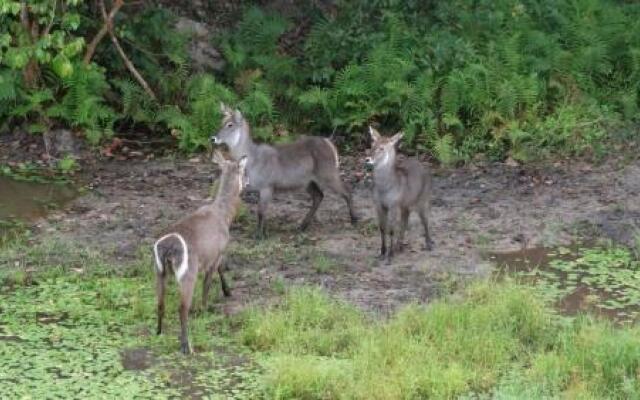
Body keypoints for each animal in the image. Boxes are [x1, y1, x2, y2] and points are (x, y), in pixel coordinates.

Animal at [152, 150, 248, 354]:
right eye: (244, 171)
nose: (248, 183)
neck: (225, 215)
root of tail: (167, 248)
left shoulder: (214, 253)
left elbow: (220, 269)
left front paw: (227, 291)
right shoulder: (217, 251)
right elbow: (210, 281)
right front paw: (208, 307)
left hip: (159, 270)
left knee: (160, 303)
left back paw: (159, 332)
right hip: (187, 272)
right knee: (182, 308)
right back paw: (186, 346)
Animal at [212, 104, 358, 241]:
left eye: (230, 124)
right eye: (221, 122)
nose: (213, 138)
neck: (252, 159)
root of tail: (330, 144)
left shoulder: (267, 186)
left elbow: (260, 212)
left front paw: (259, 236)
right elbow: (262, 211)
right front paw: (263, 232)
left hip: (328, 174)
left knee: (347, 190)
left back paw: (354, 220)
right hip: (308, 182)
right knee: (319, 196)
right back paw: (302, 226)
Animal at [364, 126, 436, 264]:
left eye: (382, 148)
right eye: (372, 144)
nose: (368, 159)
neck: (384, 188)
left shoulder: (393, 205)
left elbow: (392, 230)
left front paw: (390, 256)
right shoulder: (379, 205)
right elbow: (382, 228)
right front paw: (382, 252)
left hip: (422, 201)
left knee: (425, 221)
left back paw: (429, 244)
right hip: (405, 206)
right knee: (405, 221)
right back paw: (399, 246)